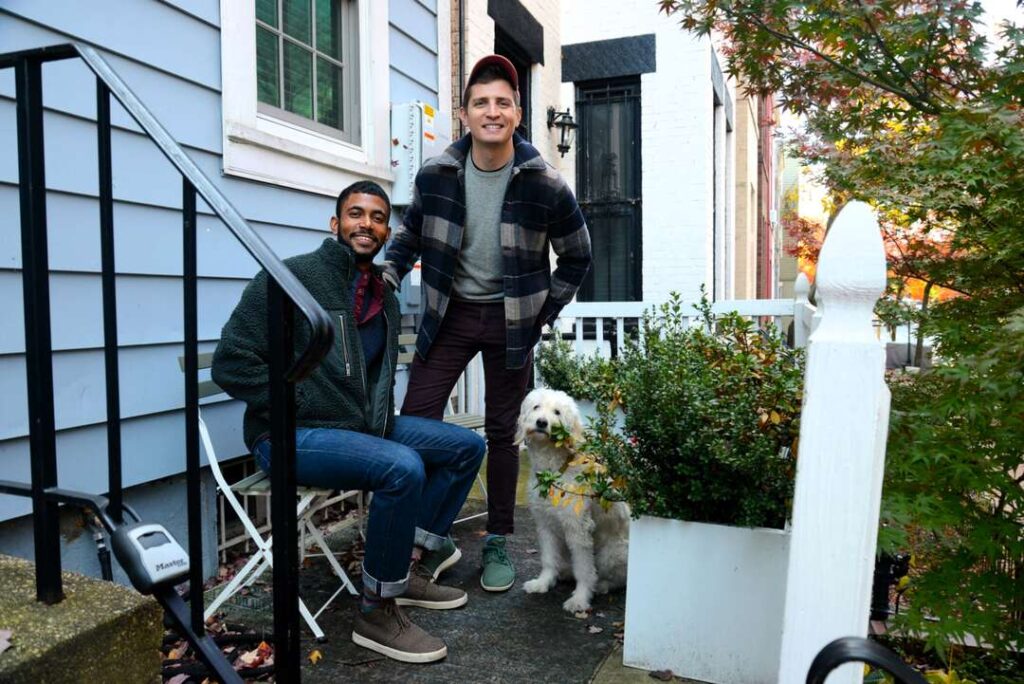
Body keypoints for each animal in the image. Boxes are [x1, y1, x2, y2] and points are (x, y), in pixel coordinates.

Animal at [520, 389, 630, 614]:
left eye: (557, 412)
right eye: (536, 407)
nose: (542, 422)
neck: (553, 472)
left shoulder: (578, 529)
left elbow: (584, 570)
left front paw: (580, 599)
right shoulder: (545, 524)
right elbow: (548, 559)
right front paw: (543, 582)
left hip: (611, 553)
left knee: (617, 579)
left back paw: (602, 585)